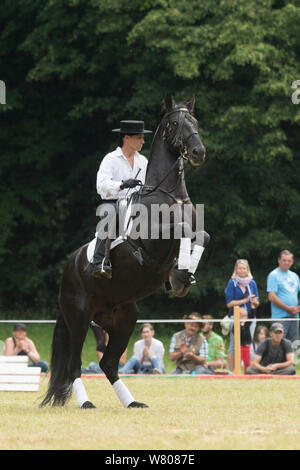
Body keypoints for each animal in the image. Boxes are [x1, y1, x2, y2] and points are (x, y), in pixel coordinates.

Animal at [40, 93, 209, 410]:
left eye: (194, 121)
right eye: (174, 123)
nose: (198, 153)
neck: (168, 194)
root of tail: (70, 267)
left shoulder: (195, 233)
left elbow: (201, 234)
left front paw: (183, 277)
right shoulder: (154, 243)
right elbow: (179, 228)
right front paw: (180, 276)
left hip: (123, 320)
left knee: (108, 364)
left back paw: (131, 402)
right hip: (79, 318)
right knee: (74, 364)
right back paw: (86, 403)